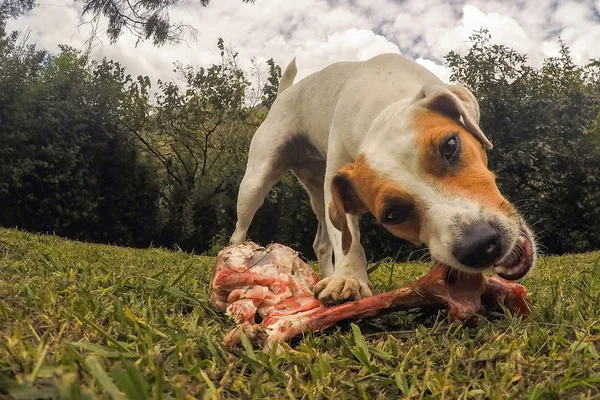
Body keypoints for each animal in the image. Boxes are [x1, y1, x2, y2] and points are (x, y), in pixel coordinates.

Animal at [229, 52, 536, 304]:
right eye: (393, 214)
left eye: (450, 145)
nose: (480, 244)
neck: (379, 109)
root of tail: (284, 94)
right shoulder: (339, 181)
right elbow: (350, 240)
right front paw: (349, 278)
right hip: (257, 183)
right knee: (239, 232)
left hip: (318, 195)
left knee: (321, 242)